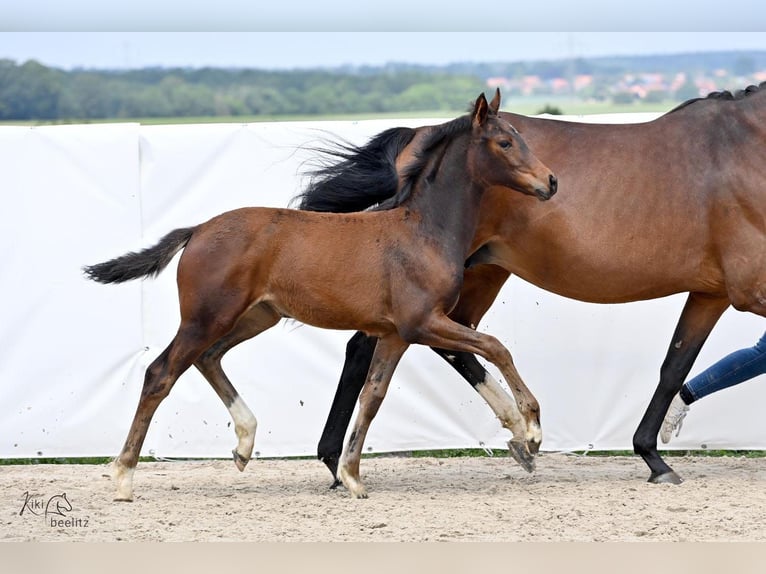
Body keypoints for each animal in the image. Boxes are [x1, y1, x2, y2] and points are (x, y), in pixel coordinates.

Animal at [82, 92, 560, 502]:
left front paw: (351, 475)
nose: (551, 181)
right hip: (206, 317)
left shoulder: (395, 334)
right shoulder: (423, 322)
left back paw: (244, 442)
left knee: (209, 357)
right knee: (160, 373)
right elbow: (495, 347)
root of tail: (197, 230)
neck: (422, 230)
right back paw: (123, 477)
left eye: (519, 137)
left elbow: (372, 396)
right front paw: (531, 430)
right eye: (505, 142)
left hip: (256, 317)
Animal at [298, 82, 766, 486]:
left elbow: (674, 368)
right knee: (395, 344)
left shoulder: (712, 292)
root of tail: (420, 133)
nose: (551, 182)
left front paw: (652, 455)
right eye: (506, 144)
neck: (747, 149)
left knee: (430, 342)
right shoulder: (747, 290)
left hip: (479, 273)